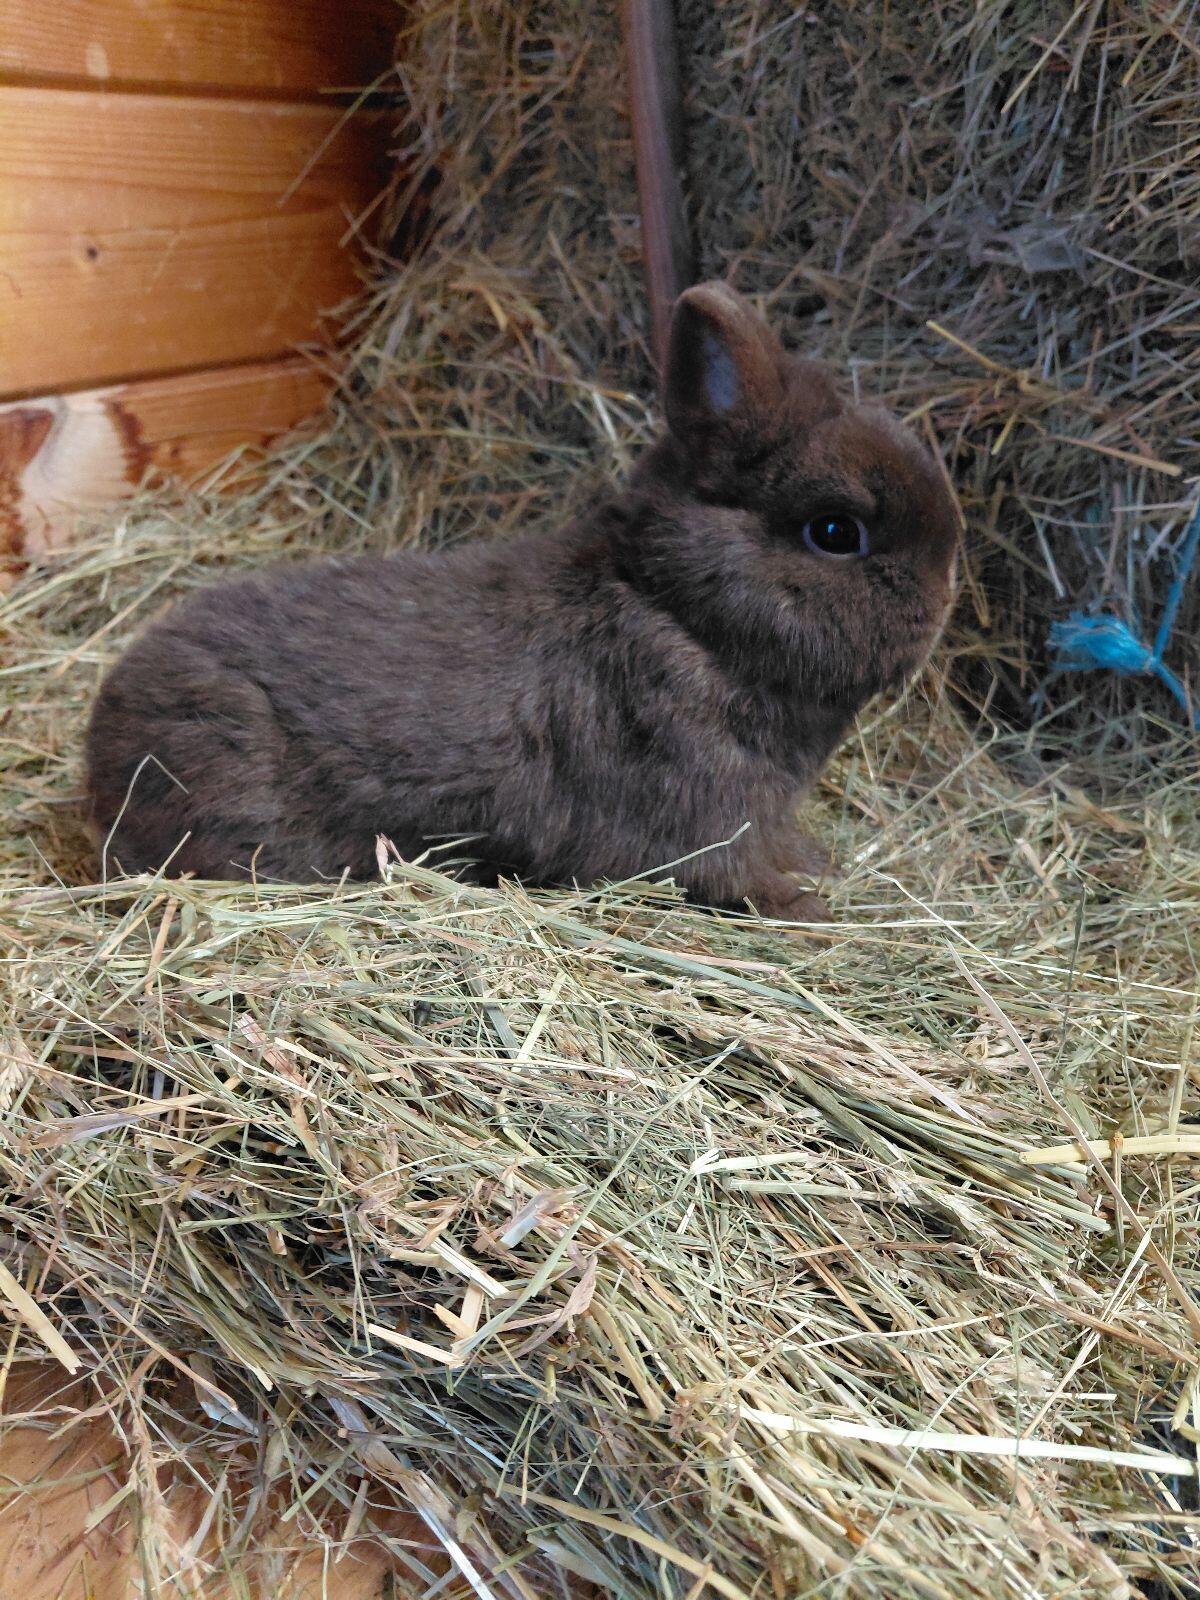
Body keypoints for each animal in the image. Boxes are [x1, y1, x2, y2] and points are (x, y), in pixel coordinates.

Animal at [85, 282, 959, 921]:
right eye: (836, 531)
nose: (946, 596)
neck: (677, 610)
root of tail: (102, 751)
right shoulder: (712, 819)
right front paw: (813, 910)